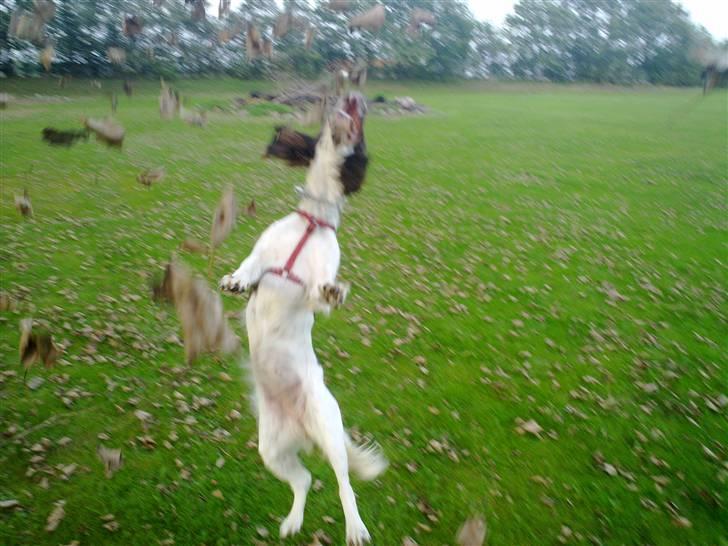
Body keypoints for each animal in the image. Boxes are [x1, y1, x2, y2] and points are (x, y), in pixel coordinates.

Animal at [220, 93, 386, 540]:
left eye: (364, 130)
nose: (354, 96)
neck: (312, 223)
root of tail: (302, 428)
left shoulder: (314, 291)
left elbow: (321, 296)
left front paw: (334, 290)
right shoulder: (262, 255)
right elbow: (249, 267)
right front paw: (235, 281)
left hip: (328, 427)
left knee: (343, 482)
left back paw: (355, 528)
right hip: (272, 450)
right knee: (305, 480)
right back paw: (293, 521)